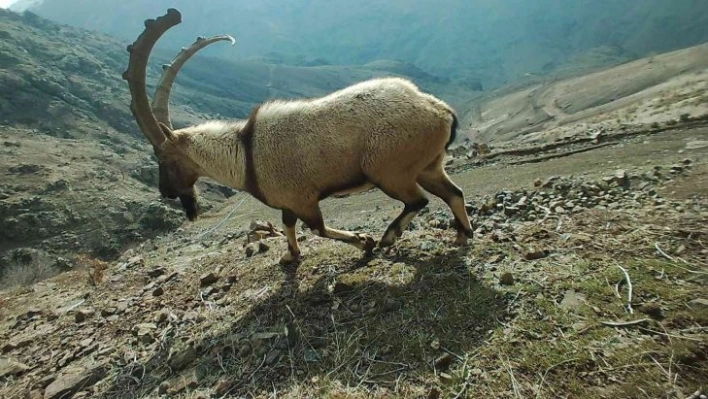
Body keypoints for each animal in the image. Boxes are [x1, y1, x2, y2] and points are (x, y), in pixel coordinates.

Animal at [124, 7, 472, 264]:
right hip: (428, 166)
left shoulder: (302, 198)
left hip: (388, 171)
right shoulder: (288, 204)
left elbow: (316, 228)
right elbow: (288, 225)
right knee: (453, 193)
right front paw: (290, 256)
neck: (244, 152)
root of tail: (439, 110)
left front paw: (365, 242)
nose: (166, 192)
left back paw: (388, 238)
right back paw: (462, 235)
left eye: (163, 158)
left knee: (419, 200)